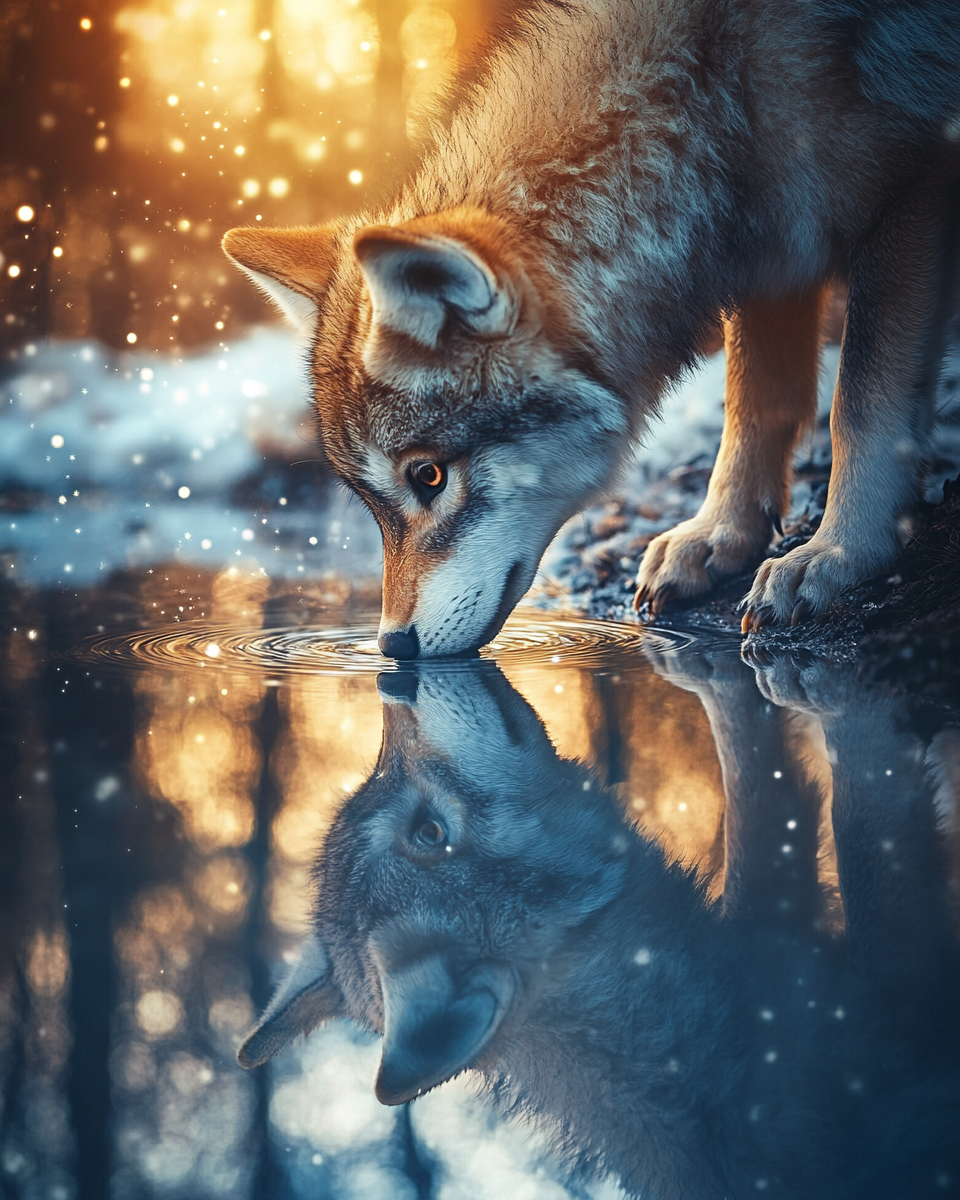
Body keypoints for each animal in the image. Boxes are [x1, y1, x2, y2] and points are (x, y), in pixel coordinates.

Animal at [224, 0, 960, 656]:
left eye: (428, 477)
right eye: (373, 501)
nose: (389, 646)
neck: (708, 92)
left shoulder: (911, 185)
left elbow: (859, 408)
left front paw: (838, 555)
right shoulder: (769, 245)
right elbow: (754, 406)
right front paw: (720, 539)